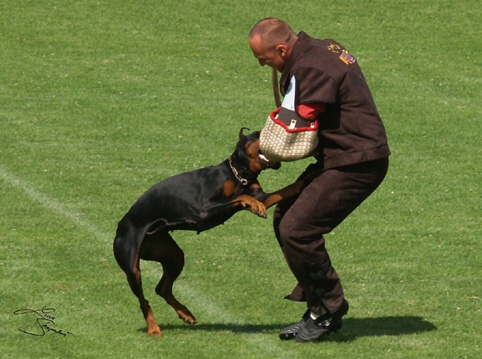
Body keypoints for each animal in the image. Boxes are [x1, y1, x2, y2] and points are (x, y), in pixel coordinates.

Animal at [112, 128, 308, 336]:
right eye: (257, 134)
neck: (239, 175)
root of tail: (121, 224)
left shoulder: (262, 195)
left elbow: (283, 191)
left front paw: (305, 178)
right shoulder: (203, 209)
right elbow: (241, 197)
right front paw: (254, 205)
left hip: (172, 255)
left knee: (162, 288)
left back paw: (185, 313)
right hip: (132, 267)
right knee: (144, 300)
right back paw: (153, 328)